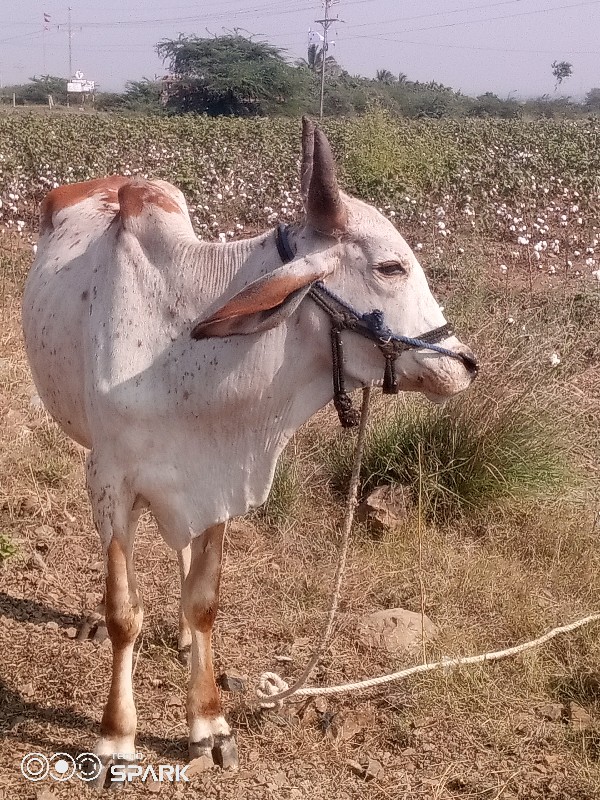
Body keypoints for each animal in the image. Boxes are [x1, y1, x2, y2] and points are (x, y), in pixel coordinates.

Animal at [21, 119, 476, 780]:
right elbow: (123, 613)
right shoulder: (108, 479)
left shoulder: (219, 479)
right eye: (391, 266)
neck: (181, 343)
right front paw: (115, 735)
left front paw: (208, 723)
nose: (464, 364)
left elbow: (204, 600)